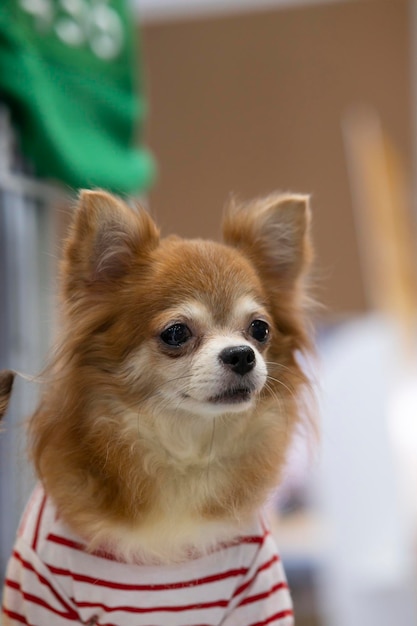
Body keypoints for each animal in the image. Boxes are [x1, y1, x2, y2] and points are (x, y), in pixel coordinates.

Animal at [1, 190, 310, 624]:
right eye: (176, 333)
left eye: (260, 329)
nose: (242, 355)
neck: (179, 454)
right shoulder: (42, 594)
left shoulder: (255, 594)